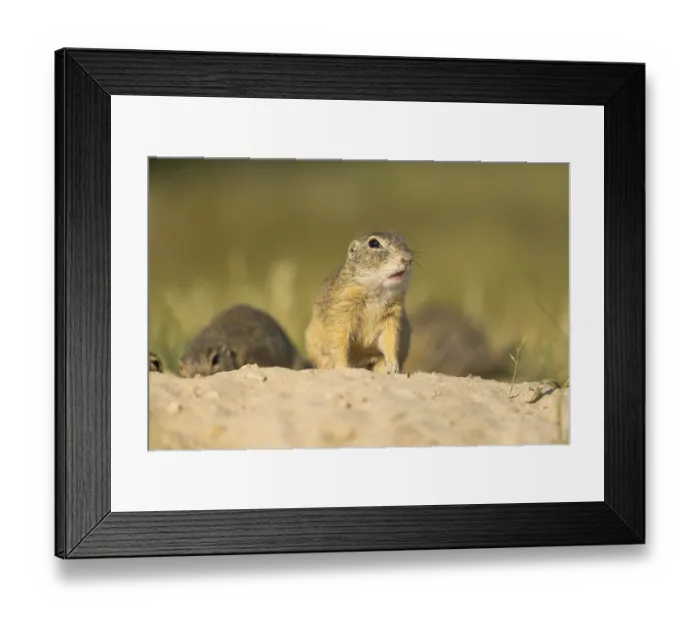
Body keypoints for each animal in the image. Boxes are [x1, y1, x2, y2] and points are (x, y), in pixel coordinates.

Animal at [305, 231, 414, 374]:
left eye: (404, 240)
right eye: (374, 243)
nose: (408, 259)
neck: (377, 292)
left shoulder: (392, 318)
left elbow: (390, 341)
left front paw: (392, 366)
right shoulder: (342, 312)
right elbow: (339, 342)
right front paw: (343, 367)